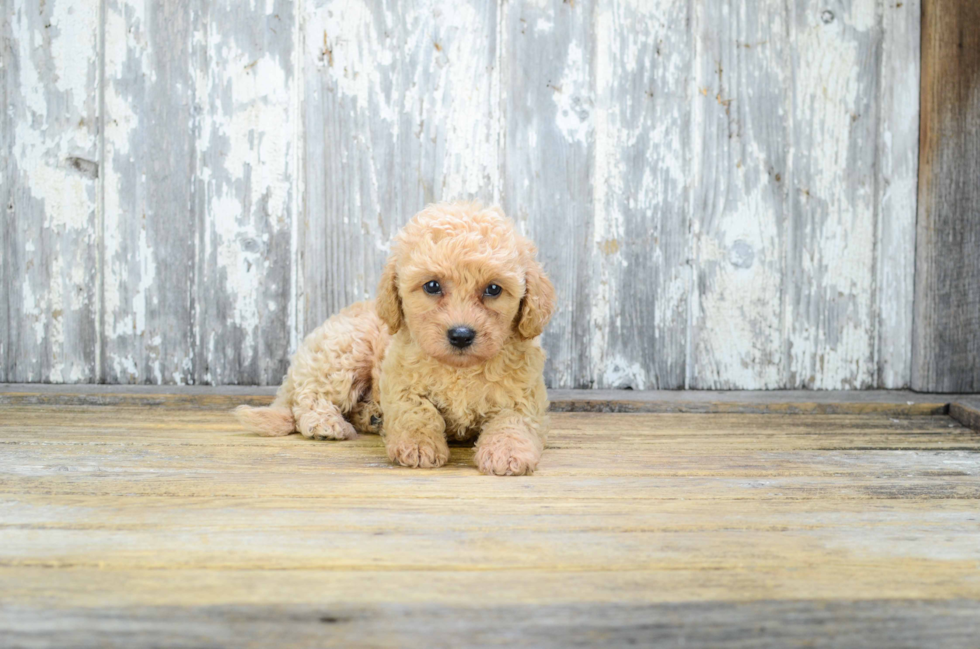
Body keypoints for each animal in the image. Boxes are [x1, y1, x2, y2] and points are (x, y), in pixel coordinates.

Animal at [234, 202, 556, 476]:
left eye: (493, 289)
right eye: (432, 286)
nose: (461, 335)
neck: (459, 368)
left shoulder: (522, 396)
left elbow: (512, 421)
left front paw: (508, 452)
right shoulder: (401, 382)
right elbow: (417, 412)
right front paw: (418, 446)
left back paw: (371, 417)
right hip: (344, 354)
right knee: (308, 395)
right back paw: (326, 423)